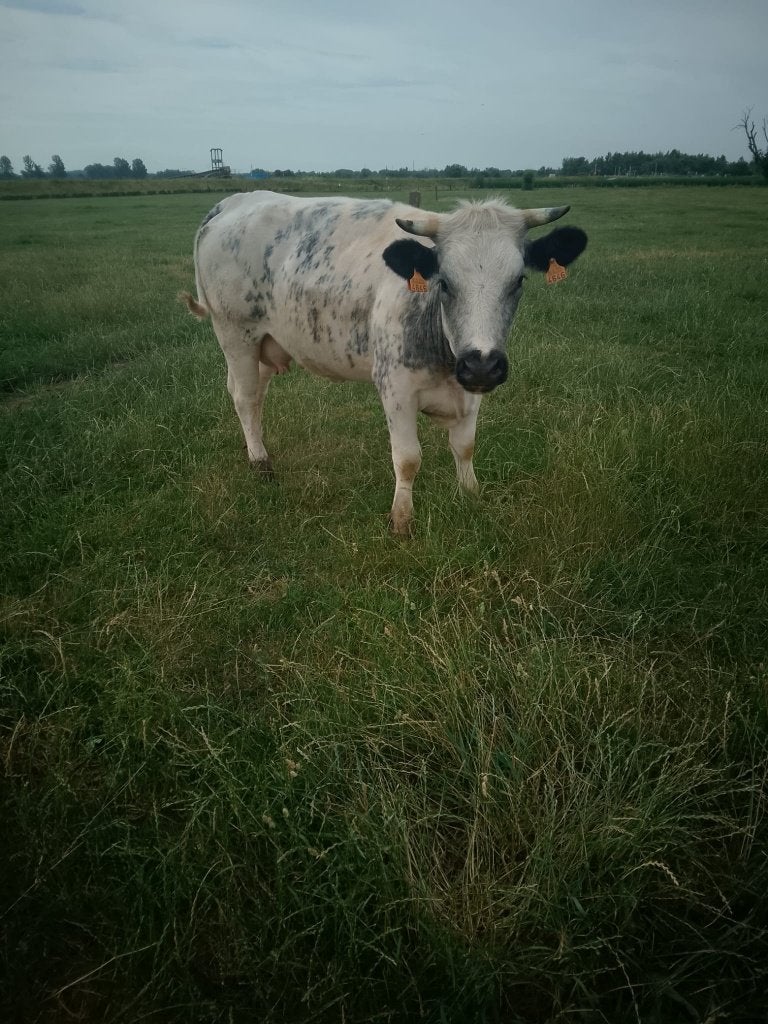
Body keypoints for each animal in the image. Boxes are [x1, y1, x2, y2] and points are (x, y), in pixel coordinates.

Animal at [182, 191, 587, 534]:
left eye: (518, 281)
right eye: (444, 282)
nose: (482, 364)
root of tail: (236, 200)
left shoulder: (470, 388)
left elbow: (465, 446)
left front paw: (470, 496)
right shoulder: (396, 387)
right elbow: (408, 458)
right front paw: (401, 521)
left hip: (267, 344)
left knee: (253, 395)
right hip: (236, 335)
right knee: (245, 398)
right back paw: (260, 462)